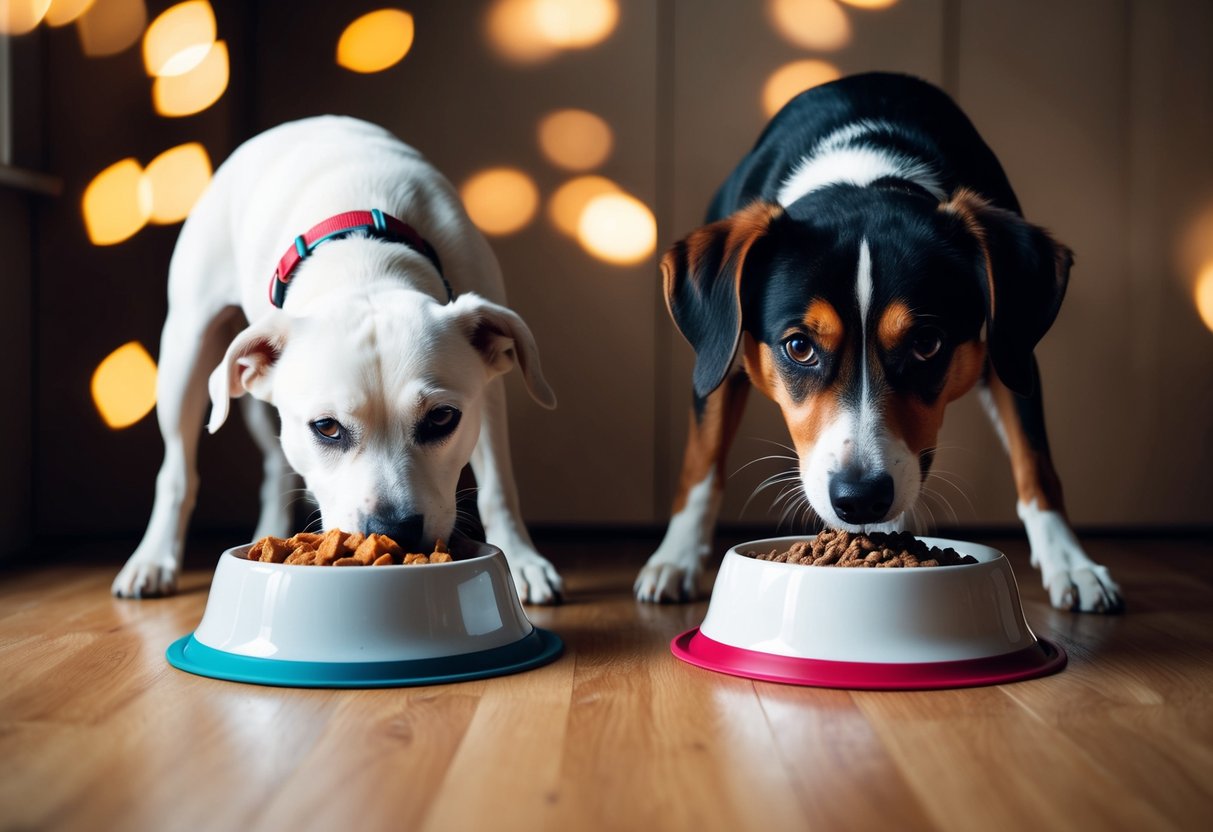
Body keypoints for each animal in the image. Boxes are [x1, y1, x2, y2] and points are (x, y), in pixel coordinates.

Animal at [110, 114, 562, 606]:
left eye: (443, 418)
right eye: (326, 427)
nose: (394, 529)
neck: (367, 264)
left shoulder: (487, 397)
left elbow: (499, 485)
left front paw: (521, 559)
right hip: (187, 355)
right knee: (178, 469)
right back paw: (154, 558)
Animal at [640, 74, 1120, 616]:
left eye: (926, 343)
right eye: (799, 347)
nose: (860, 497)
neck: (862, 175)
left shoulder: (1011, 347)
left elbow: (1035, 463)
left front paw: (1072, 565)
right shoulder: (719, 352)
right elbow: (701, 461)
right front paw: (674, 558)